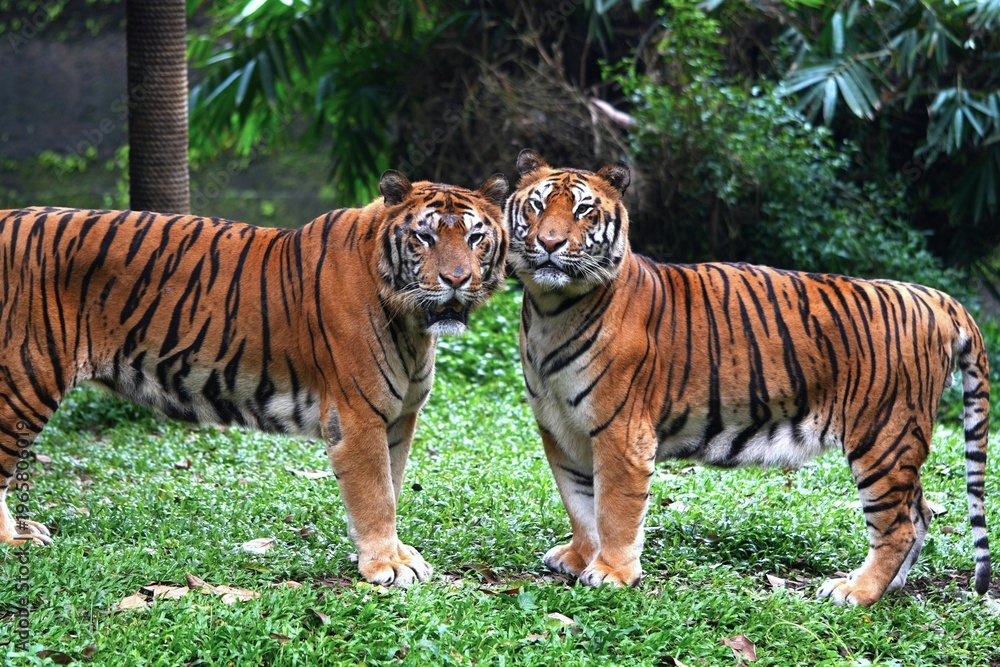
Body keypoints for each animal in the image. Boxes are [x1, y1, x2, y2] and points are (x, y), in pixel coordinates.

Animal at [0, 169, 508, 588]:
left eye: (476, 236)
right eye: (423, 237)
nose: (457, 280)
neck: (413, 324)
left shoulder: (399, 418)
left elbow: (392, 486)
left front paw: (386, 553)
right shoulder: (357, 417)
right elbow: (376, 495)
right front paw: (387, 563)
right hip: (24, 381)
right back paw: (16, 540)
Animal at [505, 148, 991, 605]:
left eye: (584, 210)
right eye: (537, 206)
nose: (549, 242)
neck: (550, 310)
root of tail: (936, 298)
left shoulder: (621, 433)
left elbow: (613, 509)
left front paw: (612, 573)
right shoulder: (559, 429)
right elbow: (578, 502)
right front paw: (580, 557)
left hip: (883, 437)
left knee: (898, 525)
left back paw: (857, 591)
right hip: (897, 443)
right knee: (921, 511)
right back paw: (889, 586)